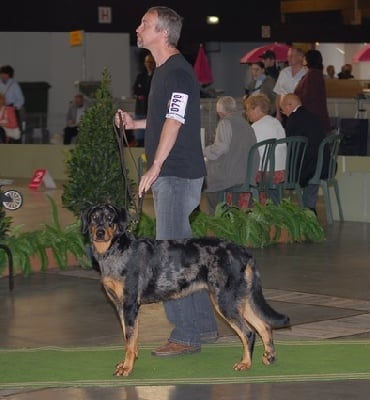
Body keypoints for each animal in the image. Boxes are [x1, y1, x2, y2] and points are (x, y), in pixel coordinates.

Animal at [82, 205, 290, 376]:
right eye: (94, 218)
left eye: (110, 217)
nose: (100, 232)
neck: (114, 251)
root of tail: (244, 252)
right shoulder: (120, 306)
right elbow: (130, 338)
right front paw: (129, 362)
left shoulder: (130, 305)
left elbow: (130, 340)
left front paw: (127, 368)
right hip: (239, 299)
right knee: (264, 326)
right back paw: (269, 357)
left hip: (225, 301)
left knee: (248, 333)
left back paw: (245, 363)